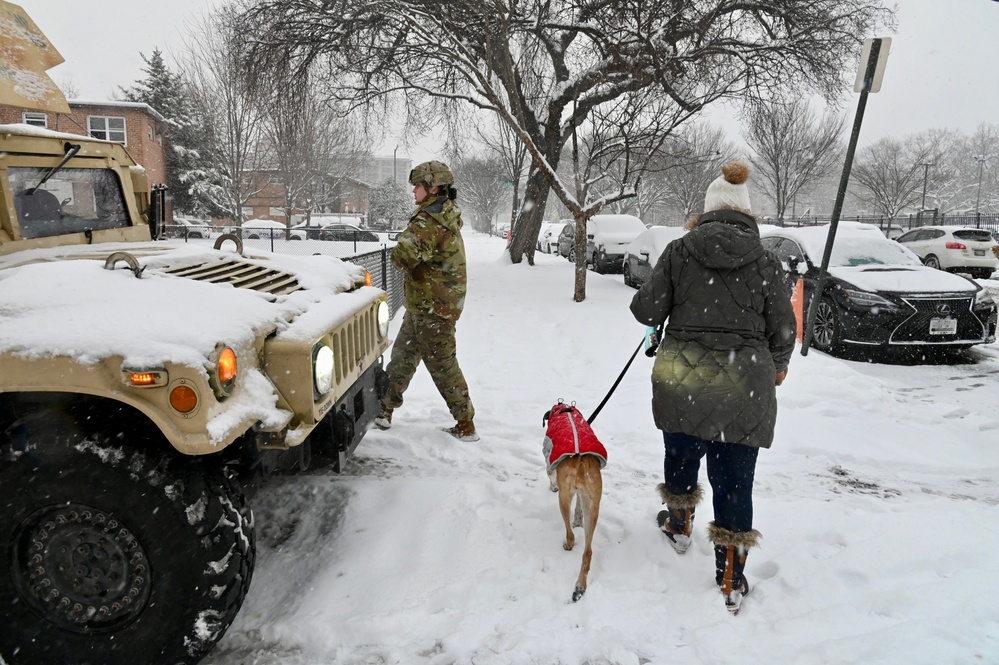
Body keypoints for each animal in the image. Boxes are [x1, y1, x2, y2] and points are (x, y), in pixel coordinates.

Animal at [544, 400, 604, 600]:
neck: (564, 409)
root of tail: (580, 461)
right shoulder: (582, 494)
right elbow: (578, 506)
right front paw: (578, 519)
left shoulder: (549, 458)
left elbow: (549, 473)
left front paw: (552, 485)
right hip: (592, 504)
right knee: (588, 551)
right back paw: (580, 586)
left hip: (564, 498)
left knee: (570, 533)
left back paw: (568, 544)